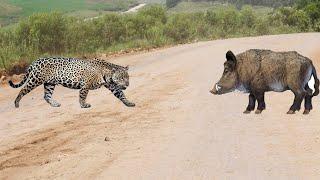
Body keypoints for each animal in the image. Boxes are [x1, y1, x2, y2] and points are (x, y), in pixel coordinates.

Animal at [7, 57, 135, 108]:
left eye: (127, 77)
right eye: (121, 78)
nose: (127, 84)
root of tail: (35, 61)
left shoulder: (113, 86)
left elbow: (121, 95)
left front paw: (129, 103)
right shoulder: (85, 85)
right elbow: (82, 96)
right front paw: (84, 105)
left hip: (50, 84)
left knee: (46, 96)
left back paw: (55, 104)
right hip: (35, 80)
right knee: (22, 90)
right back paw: (16, 103)